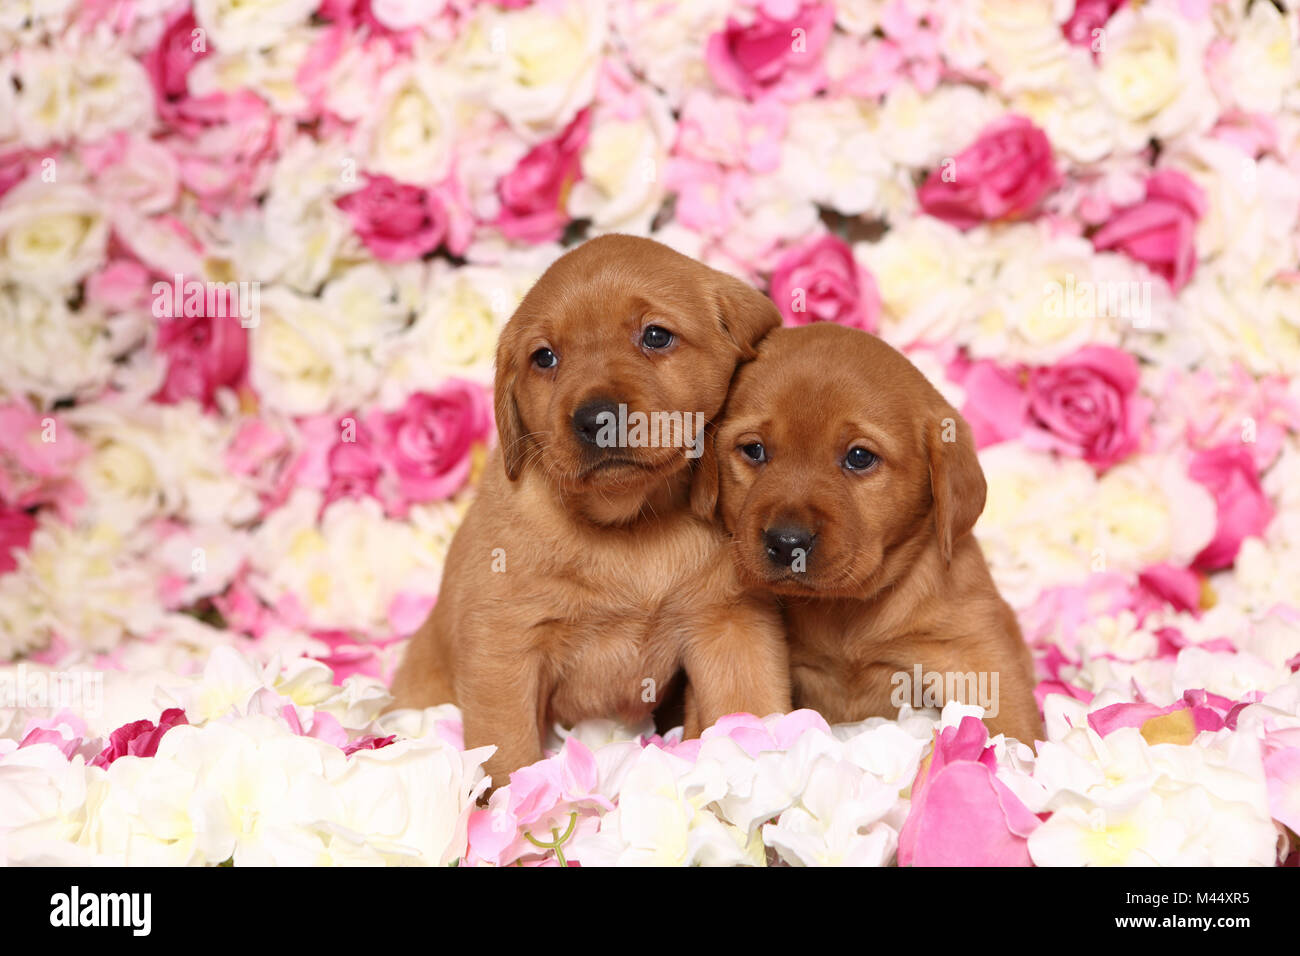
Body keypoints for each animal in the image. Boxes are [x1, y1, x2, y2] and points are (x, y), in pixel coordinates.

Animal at [384, 234, 790, 785]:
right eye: (544, 357)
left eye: (656, 336)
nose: (596, 417)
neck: (631, 526)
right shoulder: (502, 645)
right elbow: (508, 753)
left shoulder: (731, 625)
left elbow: (752, 710)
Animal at [702, 325, 1045, 743]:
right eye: (754, 449)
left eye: (859, 457)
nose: (787, 543)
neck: (844, 609)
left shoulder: (970, 650)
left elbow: (1012, 722)